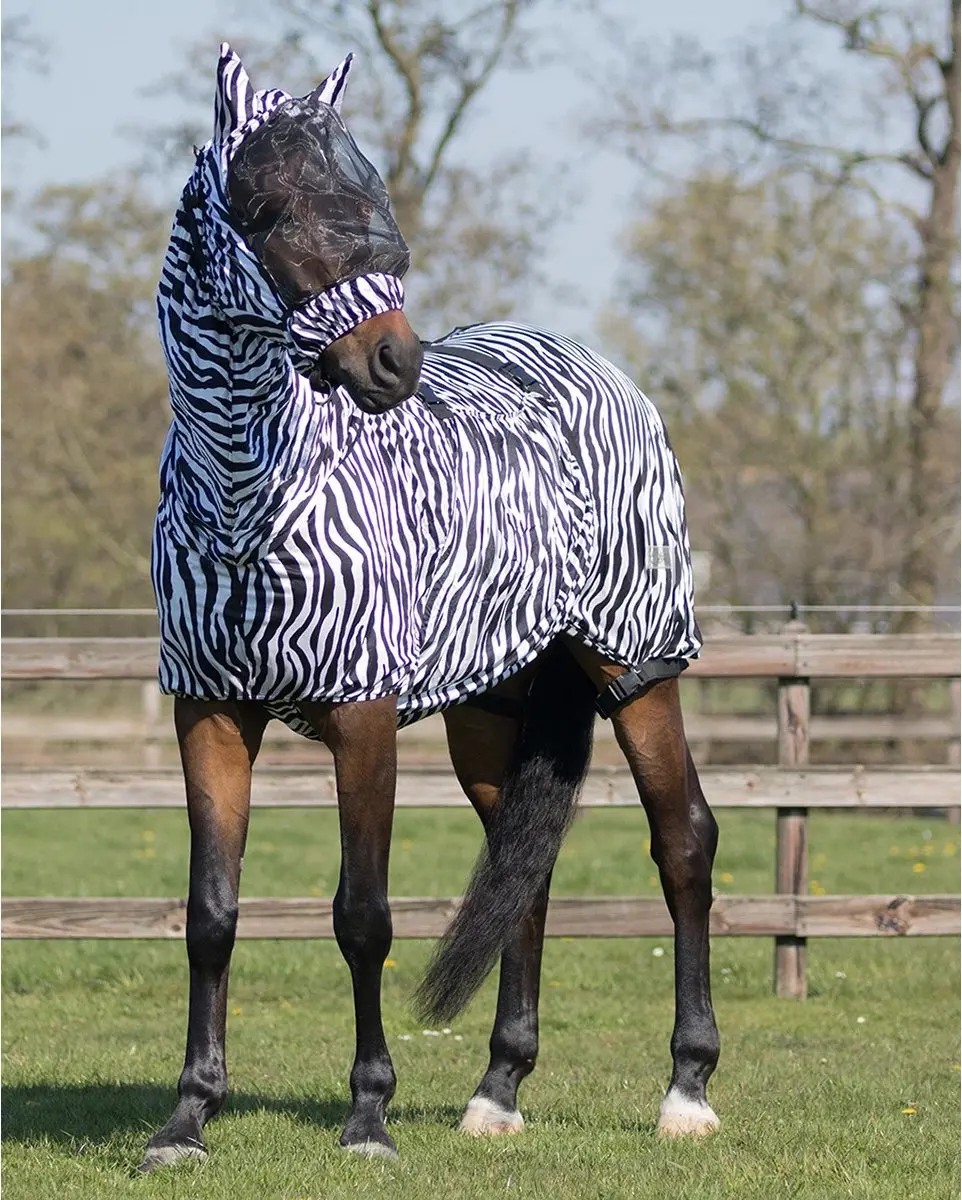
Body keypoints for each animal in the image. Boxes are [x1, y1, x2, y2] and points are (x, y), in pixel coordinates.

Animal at [141, 44, 720, 1171]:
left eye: (370, 201)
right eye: (269, 210)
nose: (393, 363)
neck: (250, 498)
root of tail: (595, 371)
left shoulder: (362, 715)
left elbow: (361, 917)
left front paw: (367, 1117)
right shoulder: (209, 712)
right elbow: (212, 915)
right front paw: (187, 1117)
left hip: (638, 667)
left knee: (683, 844)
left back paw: (686, 1090)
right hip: (492, 711)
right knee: (523, 869)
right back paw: (497, 1091)